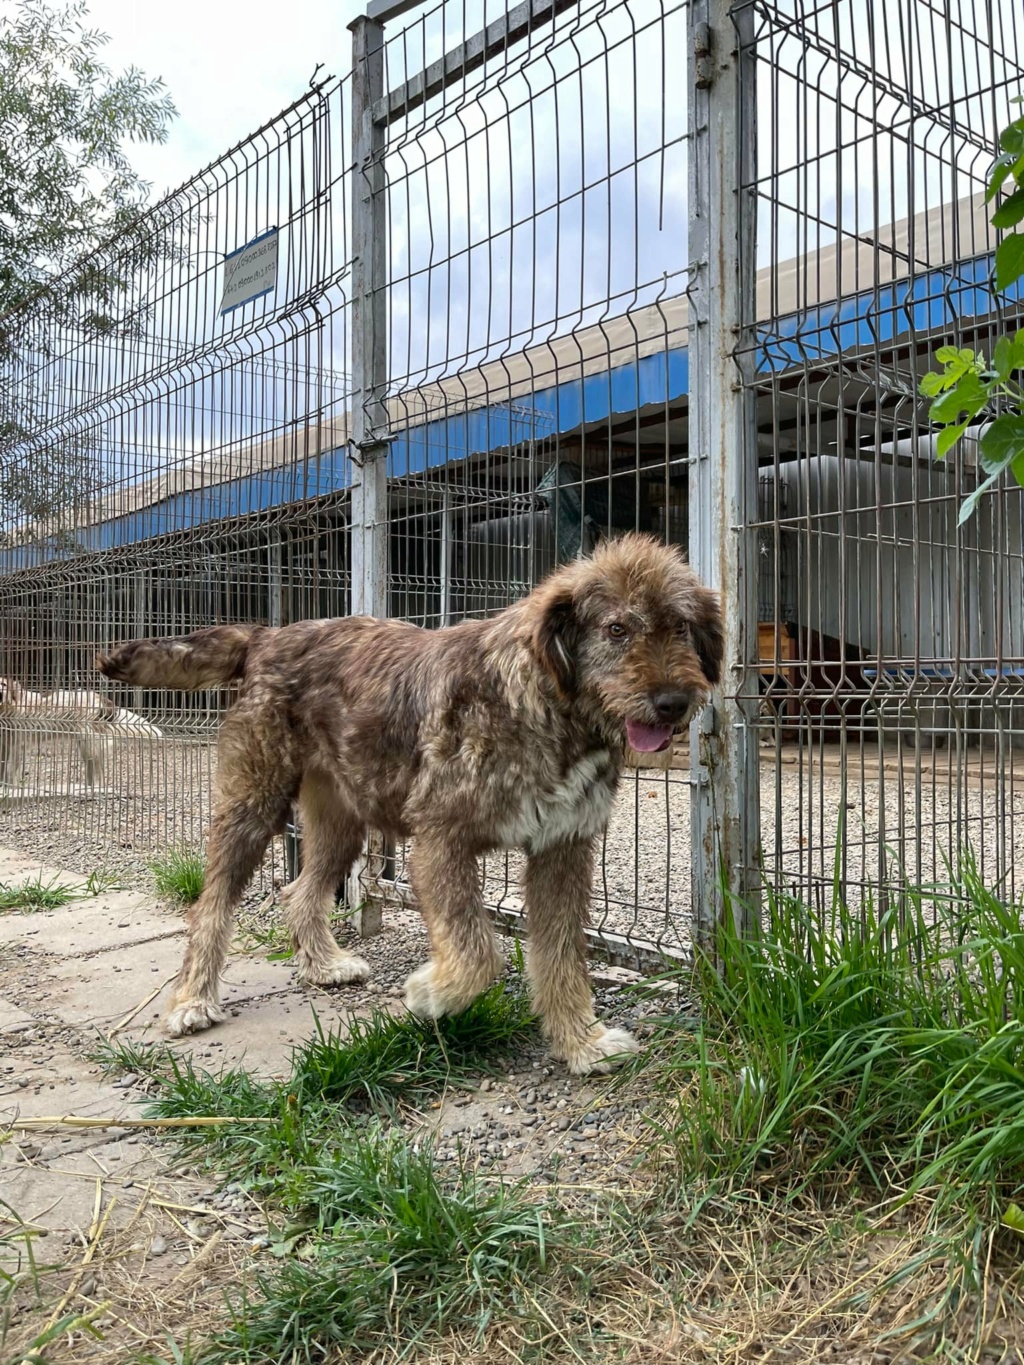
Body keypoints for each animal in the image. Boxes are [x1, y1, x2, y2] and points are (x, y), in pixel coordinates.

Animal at [0, 679, 163, 791]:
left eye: (3, 684)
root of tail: (101, 698)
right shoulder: (5, 747)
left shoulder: (18, 746)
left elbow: (11, 771)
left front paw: (11, 788)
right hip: (85, 746)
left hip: (90, 744)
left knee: (99, 774)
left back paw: (96, 789)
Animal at [94, 535, 720, 1075]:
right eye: (617, 628)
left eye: (681, 627)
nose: (674, 702)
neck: (548, 705)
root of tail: (266, 636)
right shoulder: (442, 840)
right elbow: (479, 951)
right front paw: (432, 994)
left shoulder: (562, 850)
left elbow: (562, 956)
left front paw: (580, 1044)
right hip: (253, 805)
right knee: (211, 906)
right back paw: (192, 1001)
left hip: (342, 823)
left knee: (300, 892)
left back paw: (323, 965)